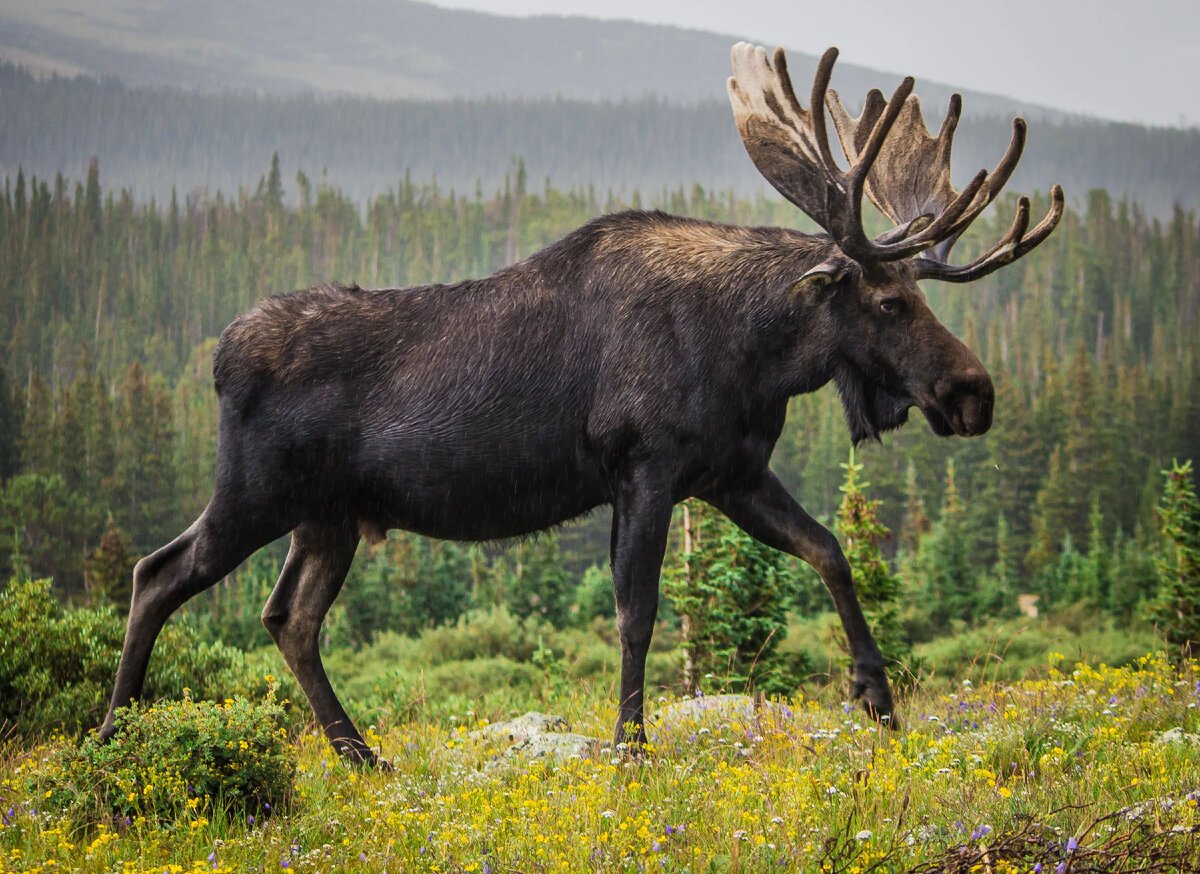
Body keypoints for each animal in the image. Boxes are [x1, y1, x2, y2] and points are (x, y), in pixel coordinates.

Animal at [100, 46, 1060, 763]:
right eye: (889, 301)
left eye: (920, 293)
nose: (974, 393)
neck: (752, 354)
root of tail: (218, 356)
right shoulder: (646, 468)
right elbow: (637, 611)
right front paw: (631, 749)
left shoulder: (731, 474)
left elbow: (829, 549)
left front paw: (877, 696)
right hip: (257, 492)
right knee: (158, 573)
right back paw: (112, 735)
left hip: (328, 516)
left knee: (288, 618)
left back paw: (361, 754)